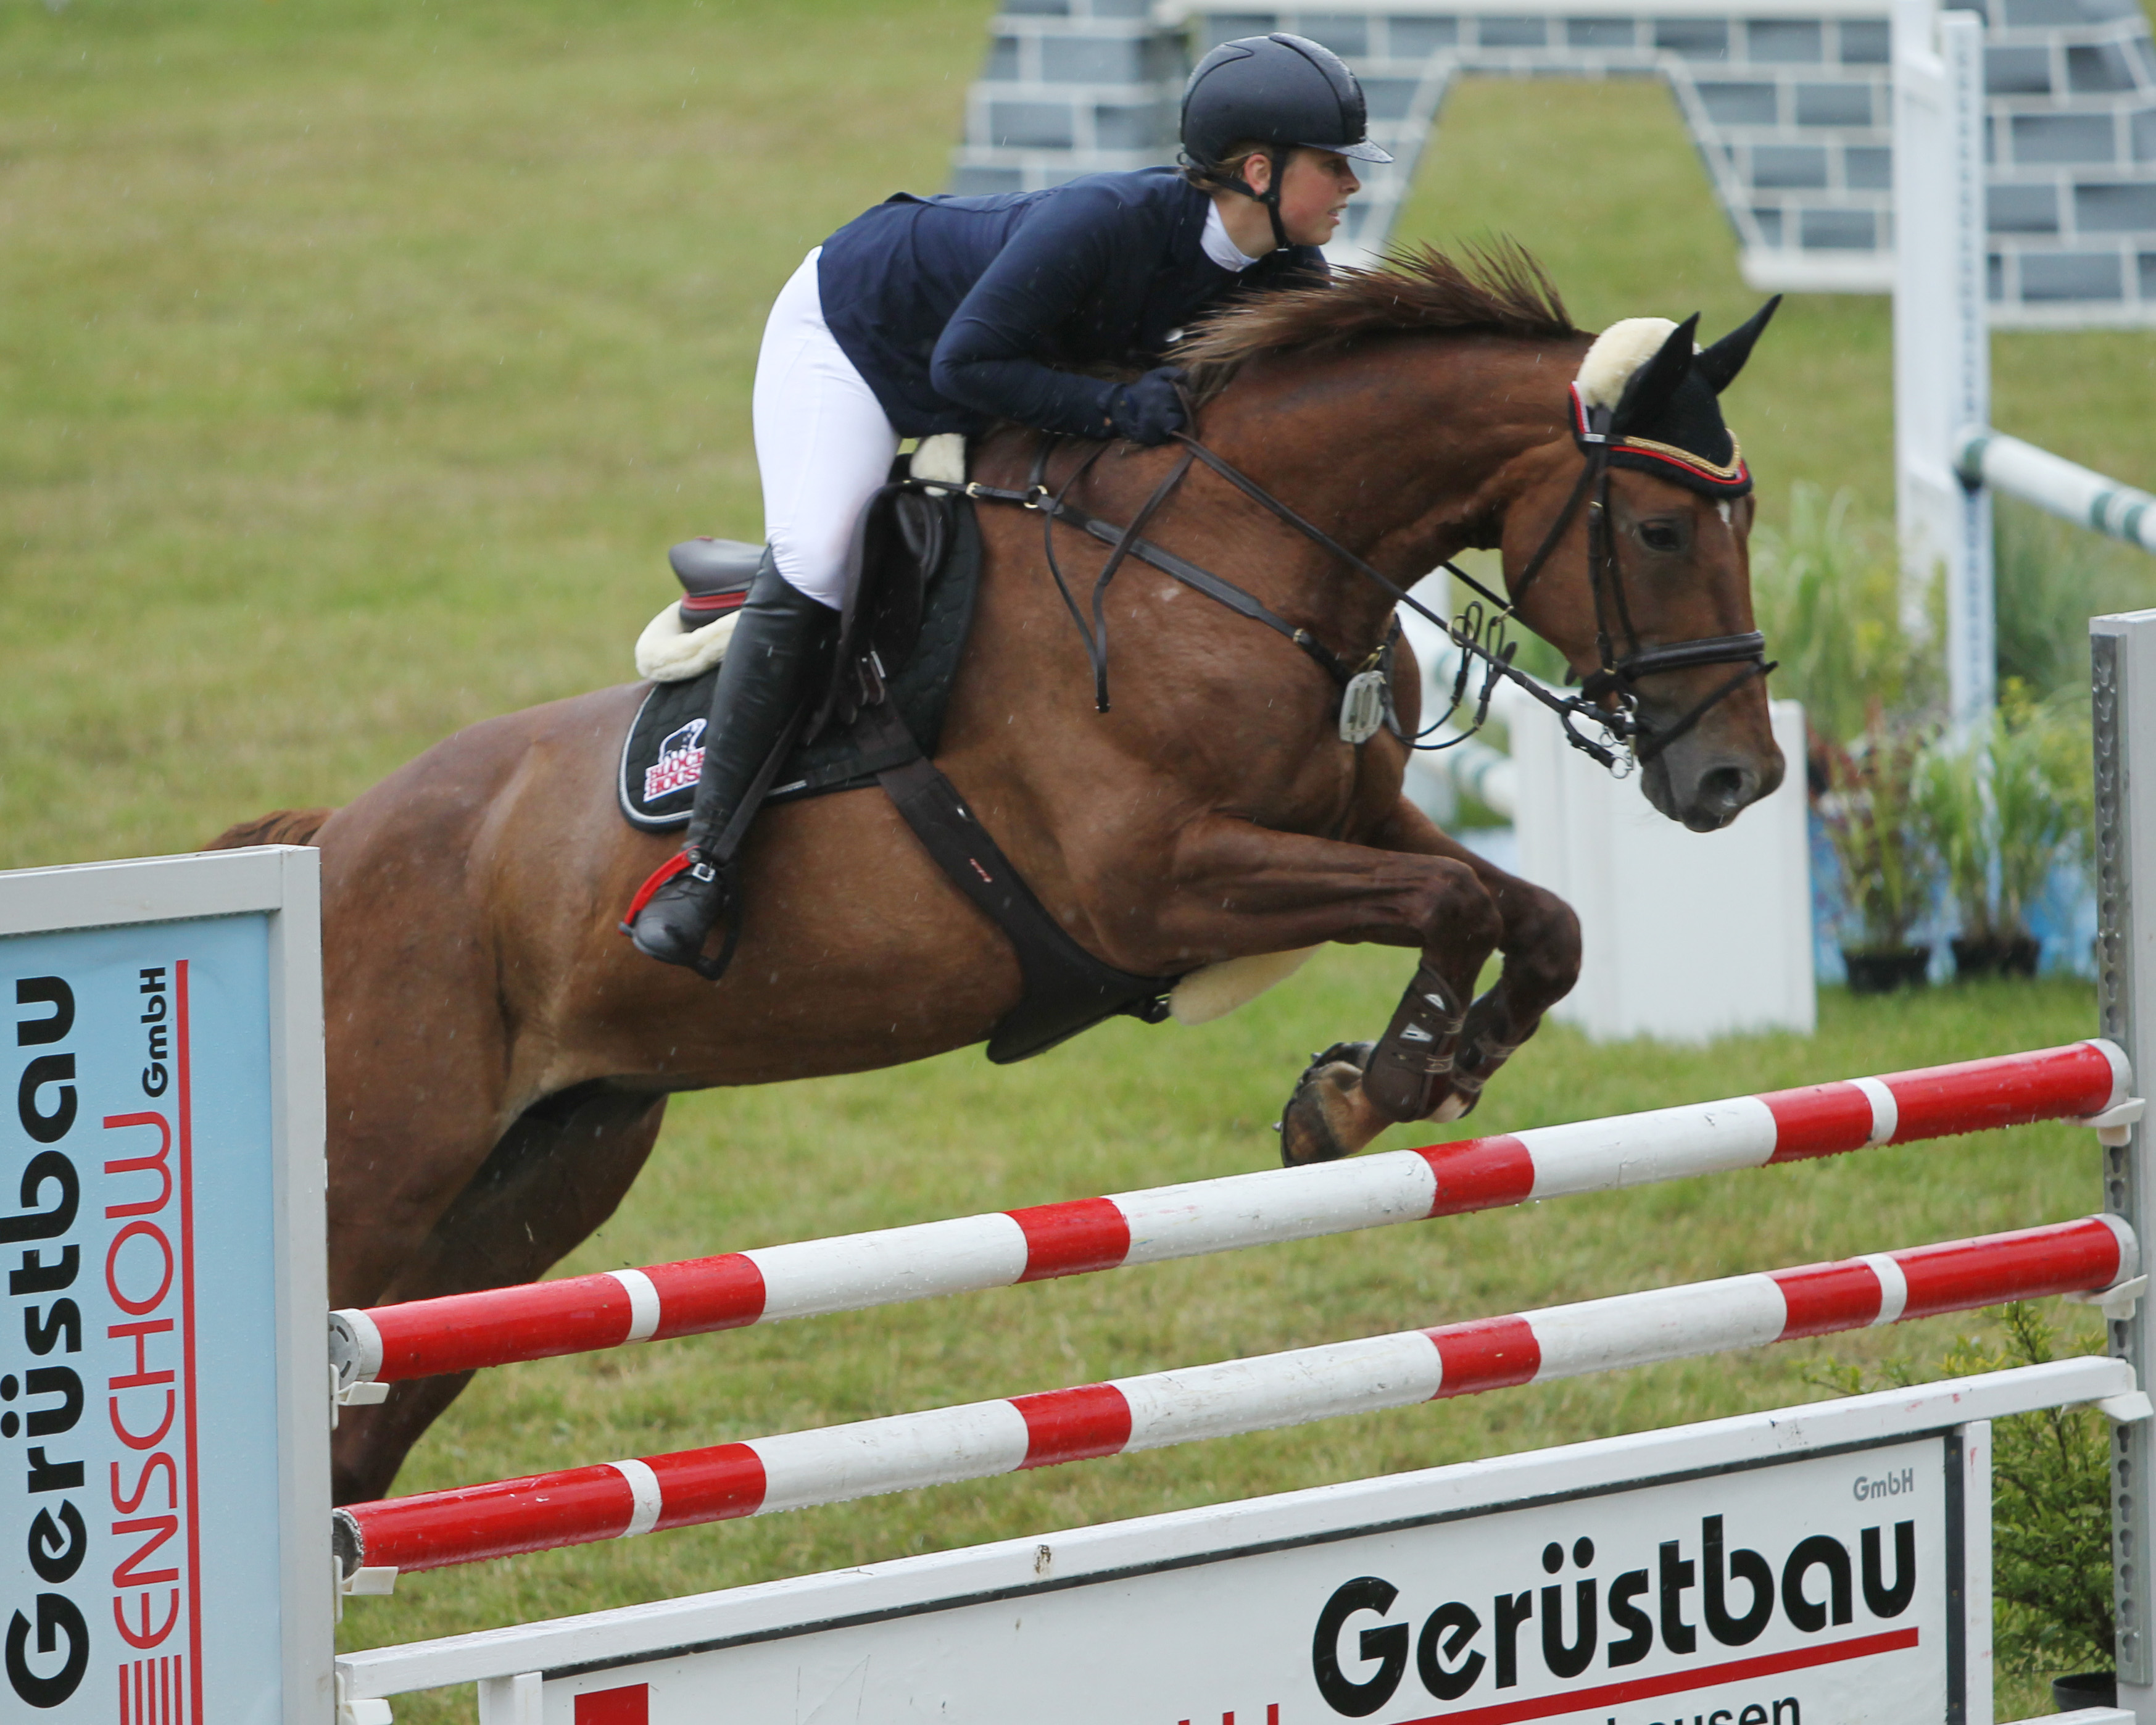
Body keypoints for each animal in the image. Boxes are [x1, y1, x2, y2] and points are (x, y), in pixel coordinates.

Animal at [218, 249, 1794, 1500]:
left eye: (1746, 520)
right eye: (1660, 529)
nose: (1740, 779)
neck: (1226, 558)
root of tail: (338, 839)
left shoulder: (1351, 816)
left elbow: (1537, 915)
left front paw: (1422, 1067)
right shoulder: (1153, 886)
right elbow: (1456, 902)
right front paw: (1376, 1085)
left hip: (544, 1180)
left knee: (367, 1436)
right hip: (384, 1162)